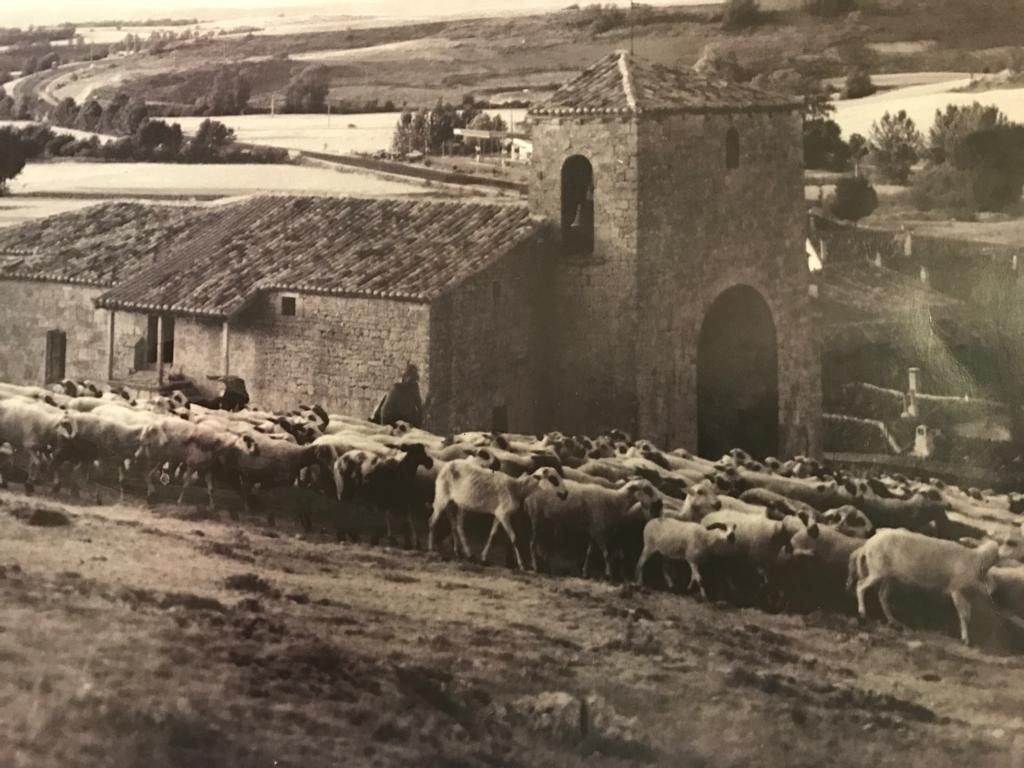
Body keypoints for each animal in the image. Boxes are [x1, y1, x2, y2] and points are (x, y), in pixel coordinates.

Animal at [847, 528, 999, 647]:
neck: (976, 561)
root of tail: (867, 545)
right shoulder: (957, 589)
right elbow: (964, 615)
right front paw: (966, 639)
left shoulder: (963, 592)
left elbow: (968, 613)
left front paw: (966, 637)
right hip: (877, 570)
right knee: (860, 586)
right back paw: (862, 614)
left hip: (889, 576)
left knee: (882, 595)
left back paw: (893, 622)